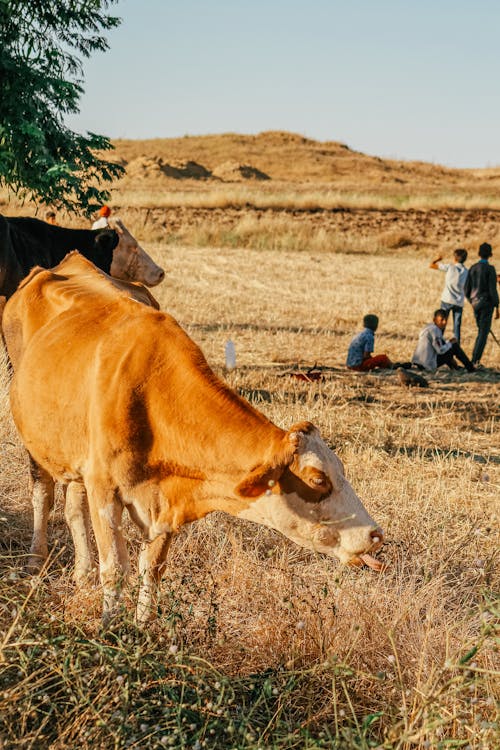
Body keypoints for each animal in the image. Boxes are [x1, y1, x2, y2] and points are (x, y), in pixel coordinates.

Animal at [2, 256, 382, 624]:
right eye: (318, 479)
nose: (376, 535)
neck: (151, 395)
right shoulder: (105, 489)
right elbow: (115, 569)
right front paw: (109, 628)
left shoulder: (165, 499)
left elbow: (151, 569)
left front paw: (142, 629)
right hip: (34, 441)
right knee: (43, 494)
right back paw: (36, 560)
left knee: (73, 508)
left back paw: (82, 574)